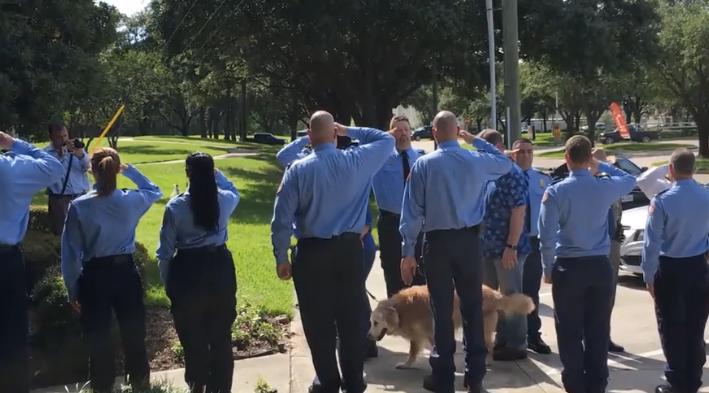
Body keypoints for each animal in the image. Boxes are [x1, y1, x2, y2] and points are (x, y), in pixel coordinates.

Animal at [368, 284, 532, 368]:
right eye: (371, 322)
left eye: (376, 323)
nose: (368, 336)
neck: (401, 309)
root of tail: (495, 294)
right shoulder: (417, 335)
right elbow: (412, 352)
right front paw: (406, 364)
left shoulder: (432, 332)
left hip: (482, 329)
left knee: (488, 347)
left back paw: (487, 361)